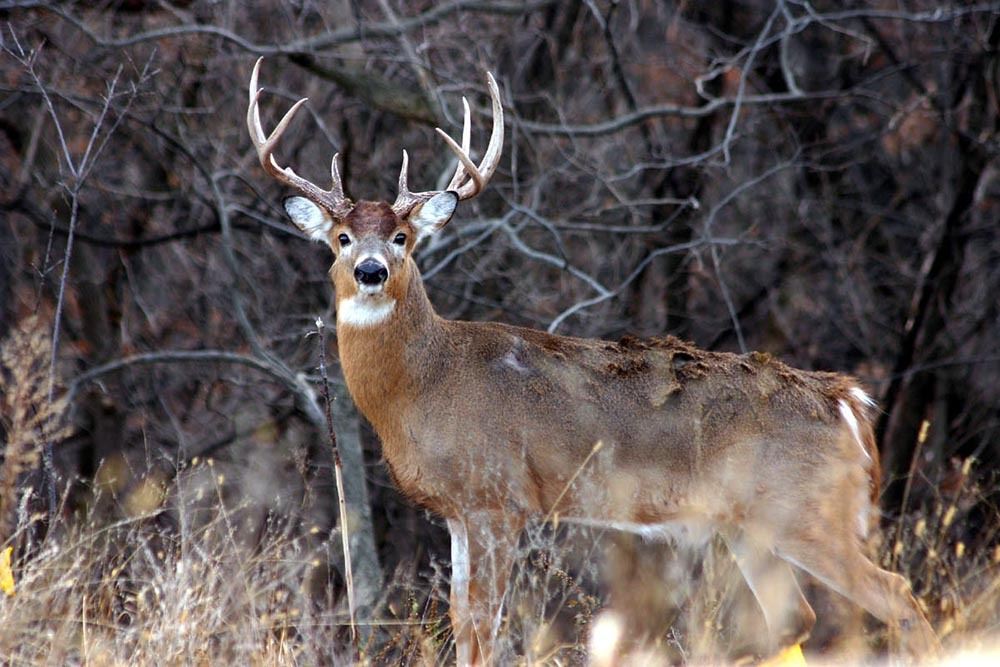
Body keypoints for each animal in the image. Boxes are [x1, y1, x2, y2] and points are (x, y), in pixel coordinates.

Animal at [246, 58, 942, 665]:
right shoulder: (459, 511)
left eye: (402, 237)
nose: (370, 270)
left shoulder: (500, 497)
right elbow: (461, 619)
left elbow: (485, 624)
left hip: (806, 511)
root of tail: (848, 401)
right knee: (795, 619)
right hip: (751, 524)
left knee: (896, 596)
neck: (423, 385)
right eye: (341, 238)